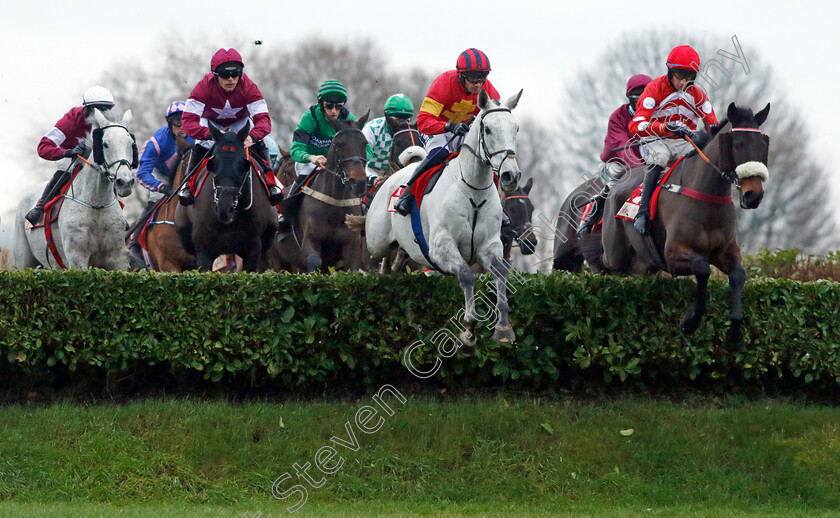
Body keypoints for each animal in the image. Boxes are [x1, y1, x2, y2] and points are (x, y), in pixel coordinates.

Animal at [13, 109, 138, 272]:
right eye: (105, 144)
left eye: (131, 144)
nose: (125, 182)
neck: (96, 204)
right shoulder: (77, 258)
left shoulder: (118, 259)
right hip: (24, 262)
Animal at [368, 91, 524, 348]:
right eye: (488, 129)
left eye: (516, 128)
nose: (511, 175)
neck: (473, 190)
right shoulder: (441, 246)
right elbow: (466, 274)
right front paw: (469, 329)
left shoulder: (490, 245)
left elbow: (501, 272)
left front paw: (503, 328)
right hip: (376, 241)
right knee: (381, 256)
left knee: (398, 257)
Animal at [592, 102, 772, 346]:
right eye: (736, 144)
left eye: (763, 145)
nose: (754, 195)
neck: (706, 195)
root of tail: (617, 185)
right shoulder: (673, 254)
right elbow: (703, 269)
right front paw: (691, 321)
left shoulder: (726, 250)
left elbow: (738, 276)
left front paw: (735, 333)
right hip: (615, 253)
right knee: (607, 264)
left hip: (642, 264)